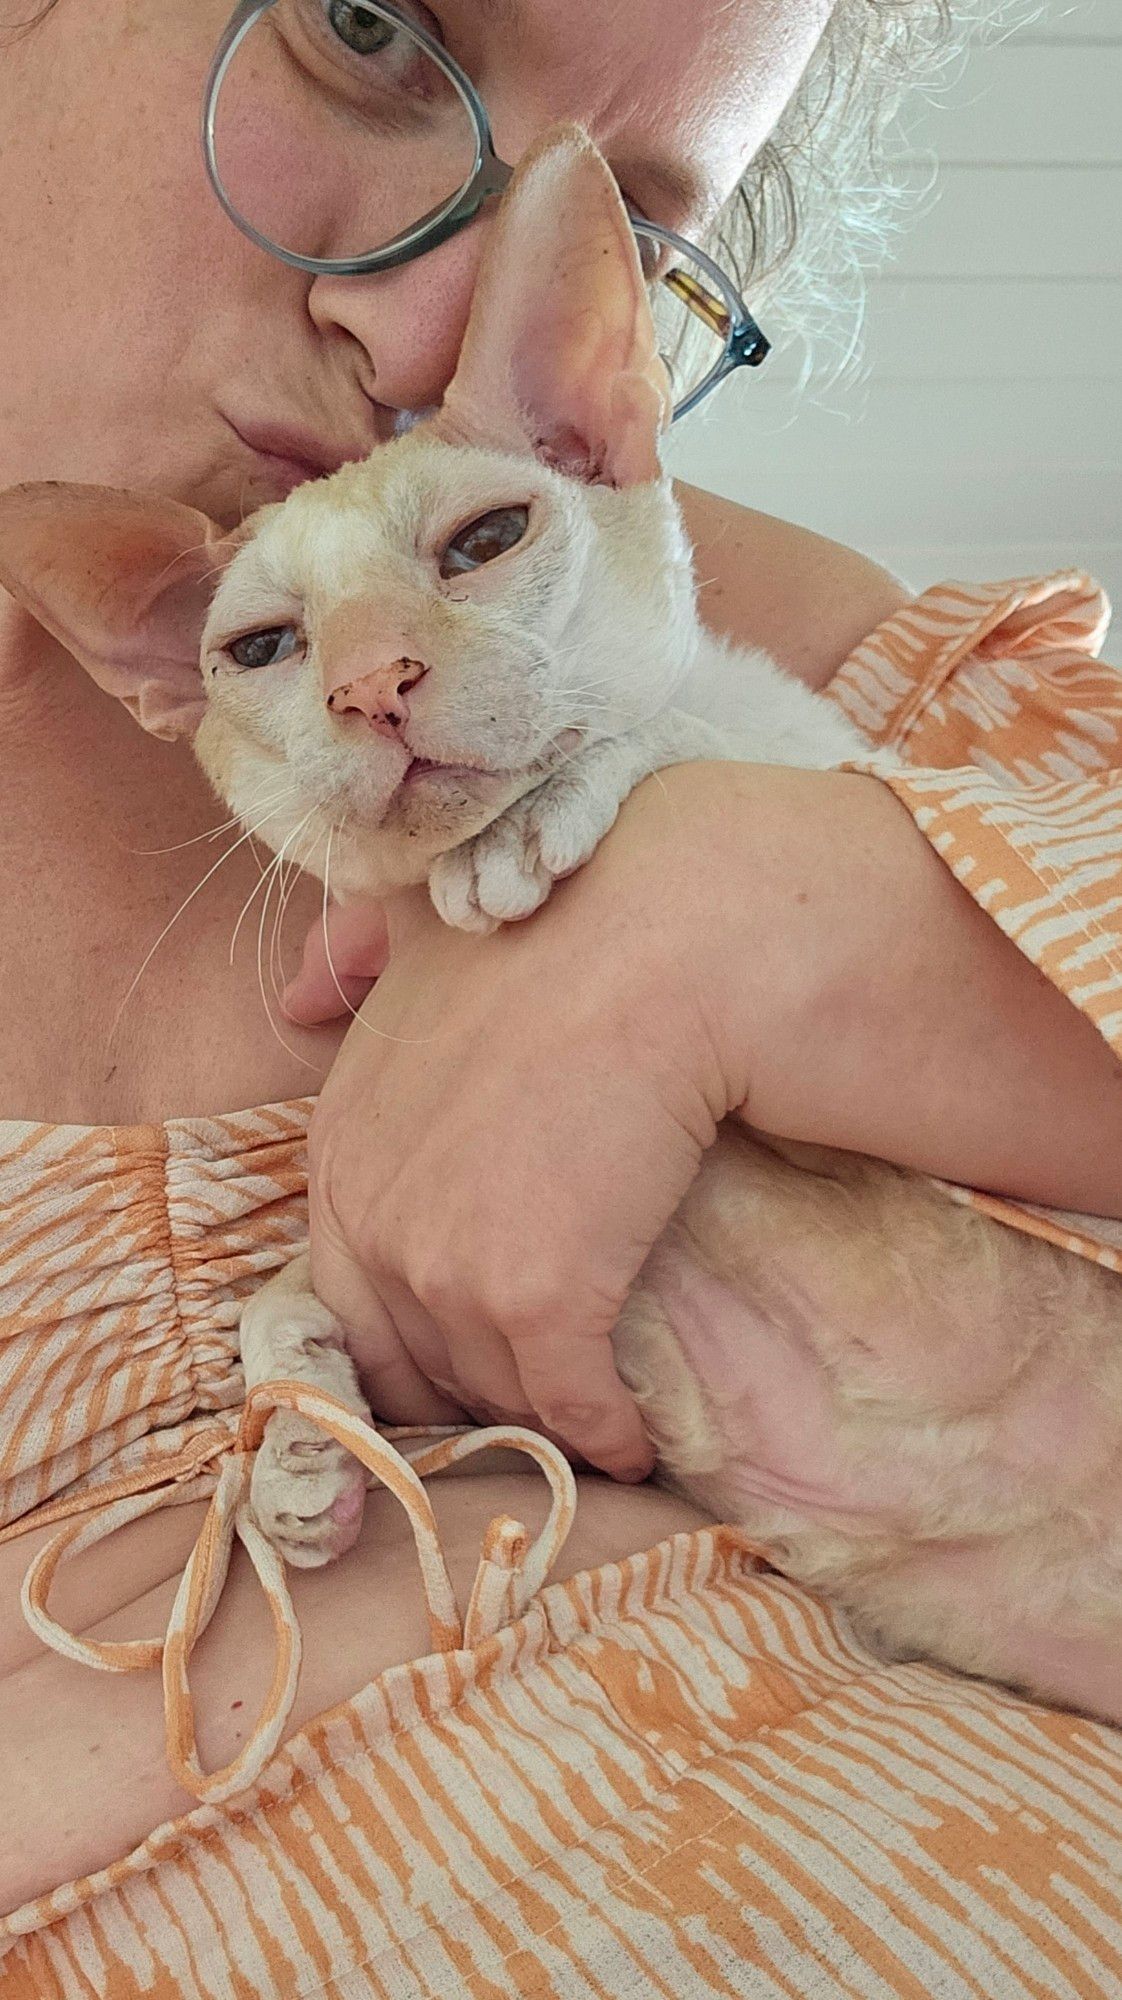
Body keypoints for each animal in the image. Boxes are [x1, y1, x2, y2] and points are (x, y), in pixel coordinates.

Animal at [0, 125, 1112, 1728]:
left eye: (486, 539)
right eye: (262, 647)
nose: (371, 684)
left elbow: (699, 740)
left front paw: (542, 811)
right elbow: (287, 1293)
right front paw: (300, 1446)